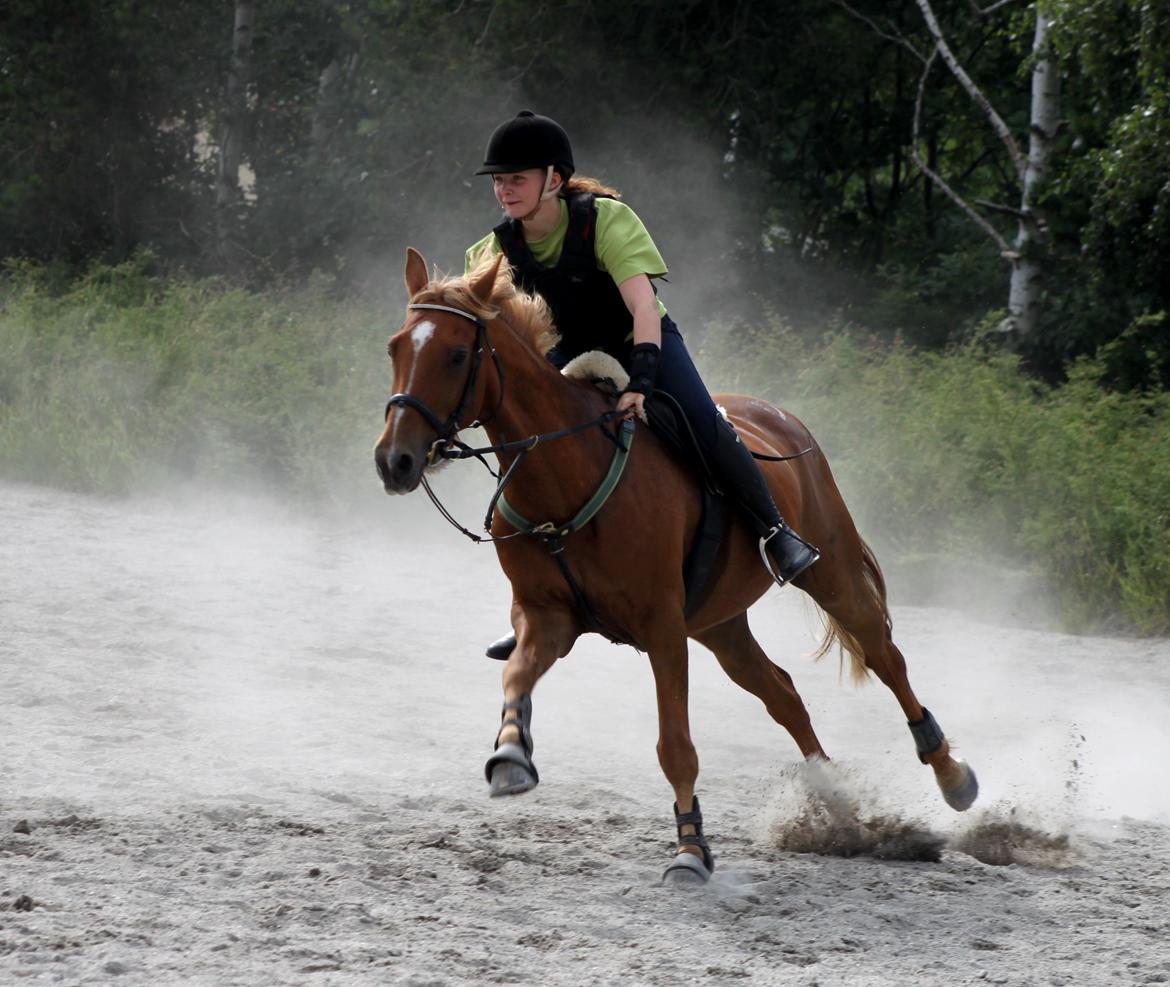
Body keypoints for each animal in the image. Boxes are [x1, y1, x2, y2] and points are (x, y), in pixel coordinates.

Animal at [374, 249, 978, 888]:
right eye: (395, 348)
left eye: (456, 355)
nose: (394, 460)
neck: (565, 472)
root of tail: (785, 419)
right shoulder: (547, 617)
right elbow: (516, 676)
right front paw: (512, 755)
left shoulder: (662, 628)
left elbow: (676, 746)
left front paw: (691, 850)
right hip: (720, 623)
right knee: (784, 694)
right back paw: (834, 803)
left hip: (829, 572)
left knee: (885, 658)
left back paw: (951, 775)